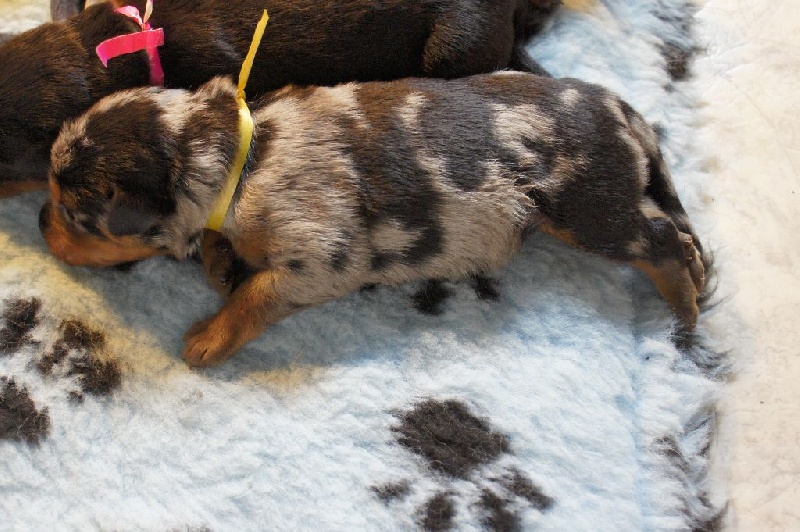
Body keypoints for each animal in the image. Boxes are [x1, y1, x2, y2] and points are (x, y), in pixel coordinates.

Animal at [40, 72, 706, 367]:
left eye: (76, 214)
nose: (41, 218)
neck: (242, 158)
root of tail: (623, 110)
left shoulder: (321, 257)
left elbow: (257, 294)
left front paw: (206, 336)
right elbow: (221, 253)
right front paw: (219, 261)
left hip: (591, 205)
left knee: (661, 239)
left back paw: (685, 308)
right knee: (675, 229)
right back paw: (698, 279)